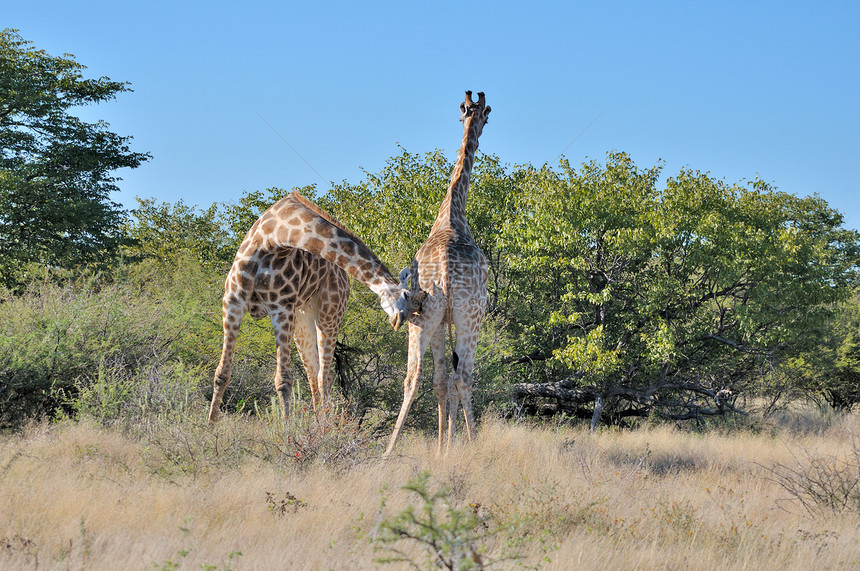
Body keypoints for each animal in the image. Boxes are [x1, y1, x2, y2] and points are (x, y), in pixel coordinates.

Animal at [210, 190, 422, 422]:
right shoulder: (233, 302)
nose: (399, 320)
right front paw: (211, 425)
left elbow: (283, 381)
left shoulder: (280, 307)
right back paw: (317, 422)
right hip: (302, 319)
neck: (273, 237)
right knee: (313, 374)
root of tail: (345, 279)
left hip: (329, 316)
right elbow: (222, 373)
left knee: (324, 376)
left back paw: (324, 426)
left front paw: (286, 431)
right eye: (406, 295)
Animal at [386, 90, 494, 456]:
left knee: (415, 377)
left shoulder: (437, 321)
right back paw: (474, 445)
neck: (452, 213)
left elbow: (439, 380)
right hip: (470, 316)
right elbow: (450, 378)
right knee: (463, 377)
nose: (476, 123)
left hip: (424, 320)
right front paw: (448, 445)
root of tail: (445, 270)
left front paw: (443, 447)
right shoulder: (456, 318)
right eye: (483, 115)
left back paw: (387, 452)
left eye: (474, 113)